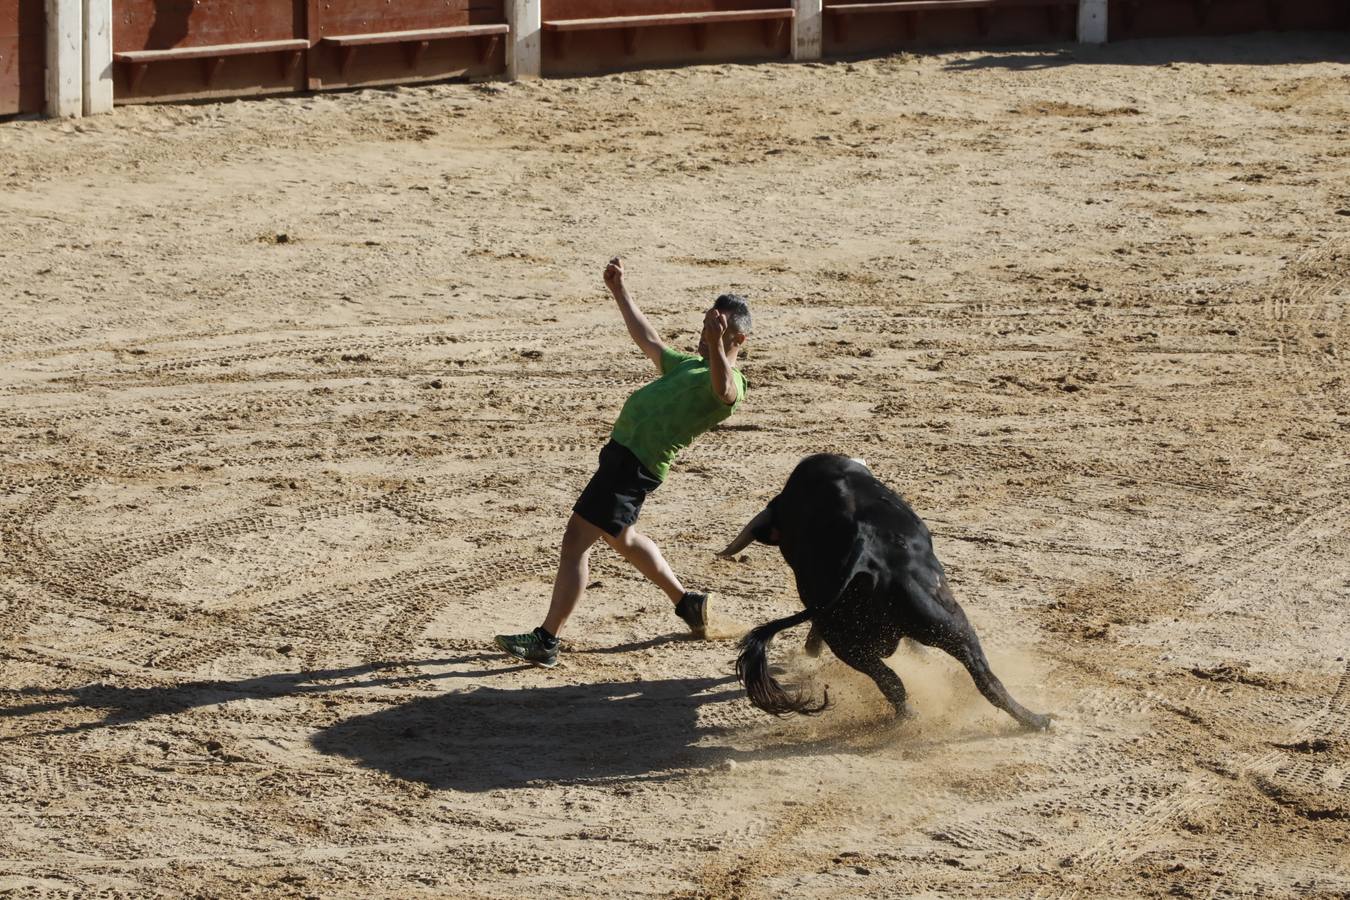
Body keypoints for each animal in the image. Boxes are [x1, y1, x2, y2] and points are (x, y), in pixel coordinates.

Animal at [723, 453, 1047, 728]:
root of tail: (864, 549)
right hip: (951, 624)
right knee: (984, 678)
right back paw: (1038, 720)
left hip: (847, 642)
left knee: (892, 683)